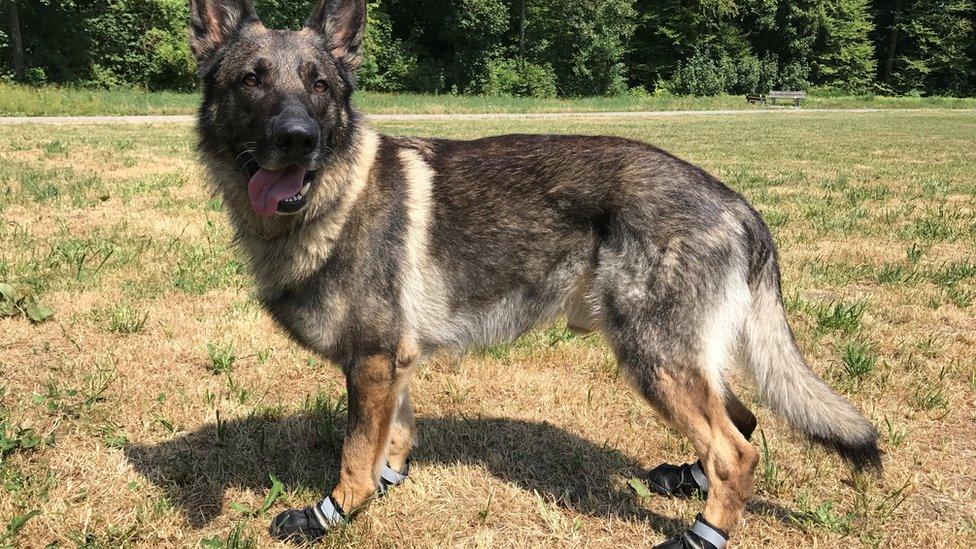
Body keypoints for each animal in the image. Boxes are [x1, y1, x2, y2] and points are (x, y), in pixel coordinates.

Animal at [189, 1, 884, 544]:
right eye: (251, 81)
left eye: (319, 86)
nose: (297, 137)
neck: (336, 196)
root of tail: (738, 204)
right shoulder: (392, 365)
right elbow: (393, 440)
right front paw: (387, 486)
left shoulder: (374, 363)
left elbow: (357, 455)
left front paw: (331, 514)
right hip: (673, 356)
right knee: (741, 419)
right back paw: (687, 483)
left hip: (653, 356)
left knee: (736, 451)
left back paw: (701, 533)